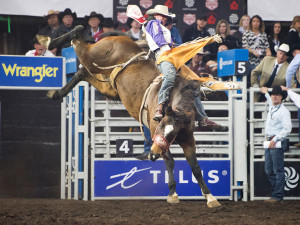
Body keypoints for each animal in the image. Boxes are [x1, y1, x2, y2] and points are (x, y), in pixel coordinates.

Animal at [48, 25, 221, 207]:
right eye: (160, 126)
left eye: (172, 133)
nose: (152, 154)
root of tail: (121, 39)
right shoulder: (156, 136)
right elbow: (170, 162)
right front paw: (172, 194)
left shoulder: (188, 140)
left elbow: (196, 167)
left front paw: (210, 197)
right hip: (93, 57)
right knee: (78, 42)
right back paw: (53, 42)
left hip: (110, 85)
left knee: (82, 72)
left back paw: (57, 92)